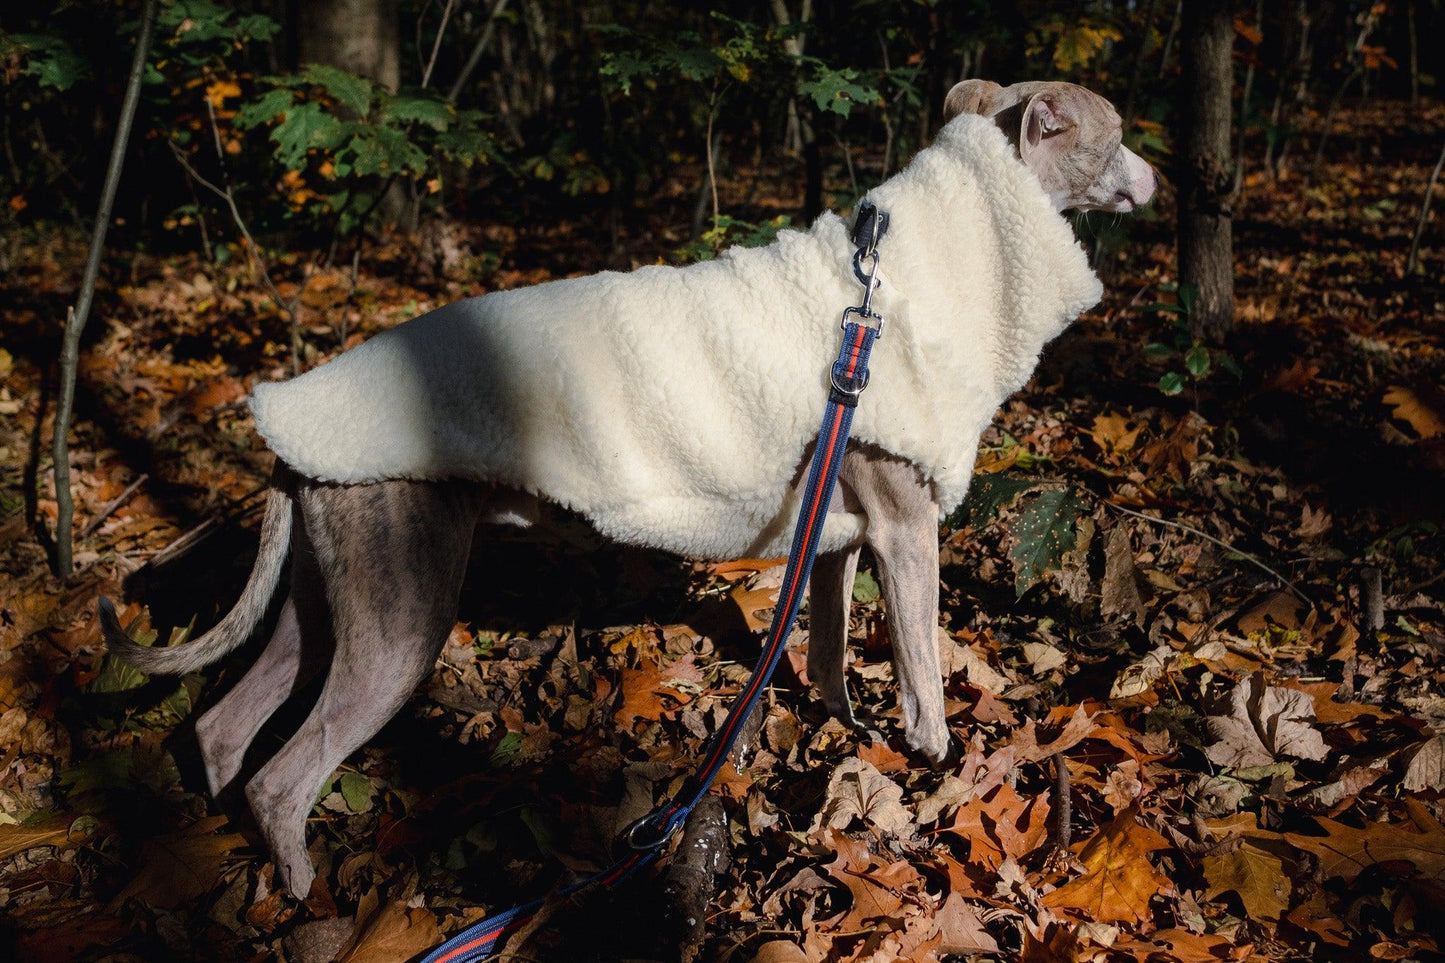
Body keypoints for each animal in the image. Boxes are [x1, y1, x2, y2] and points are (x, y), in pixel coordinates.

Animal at [101, 76, 1156, 890]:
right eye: (1116, 130)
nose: (1161, 176)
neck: (893, 285)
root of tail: (289, 424)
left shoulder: (839, 539)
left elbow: (825, 656)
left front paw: (845, 732)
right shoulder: (904, 529)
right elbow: (924, 674)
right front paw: (934, 763)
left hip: (328, 590)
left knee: (225, 729)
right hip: (398, 605)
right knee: (283, 776)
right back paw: (303, 894)